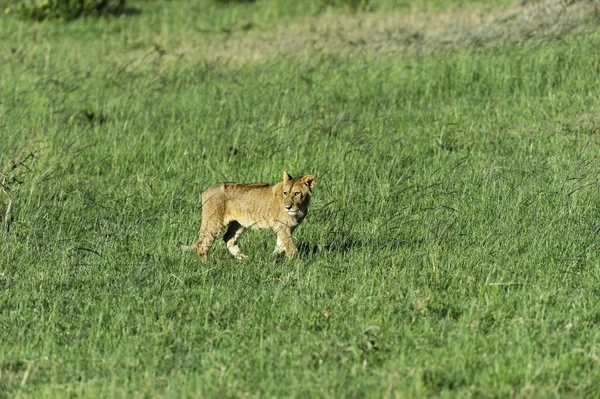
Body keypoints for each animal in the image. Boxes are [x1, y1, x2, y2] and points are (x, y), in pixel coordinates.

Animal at [178, 171, 316, 262]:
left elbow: (281, 245)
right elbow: (290, 246)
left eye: (296, 193)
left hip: (239, 224)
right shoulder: (281, 226)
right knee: (202, 245)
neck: (300, 207)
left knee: (228, 239)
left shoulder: (286, 228)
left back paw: (244, 259)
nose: (288, 207)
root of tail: (207, 190)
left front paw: (270, 258)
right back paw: (208, 264)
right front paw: (296, 263)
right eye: (285, 193)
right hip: (214, 222)